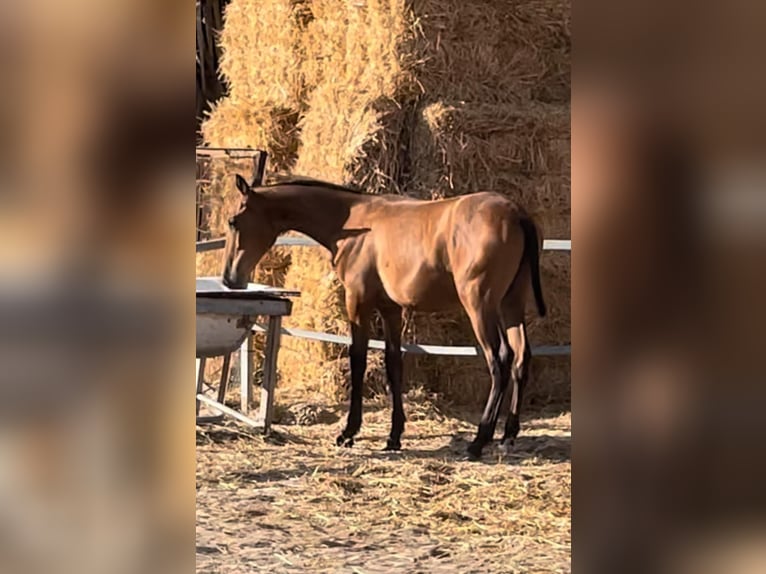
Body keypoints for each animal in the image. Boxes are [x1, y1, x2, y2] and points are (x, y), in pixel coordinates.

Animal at [222, 174, 544, 460]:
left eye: (233, 221)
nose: (229, 278)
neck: (353, 223)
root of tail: (515, 213)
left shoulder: (358, 303)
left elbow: (359, 359)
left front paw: (348, 432)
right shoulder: (391, 309)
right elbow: (393, 364)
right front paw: (394, 436)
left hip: (480, 305)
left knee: (499, 361)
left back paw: (479, 440)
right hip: (510, 306)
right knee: (520, 357)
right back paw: (508, 437)